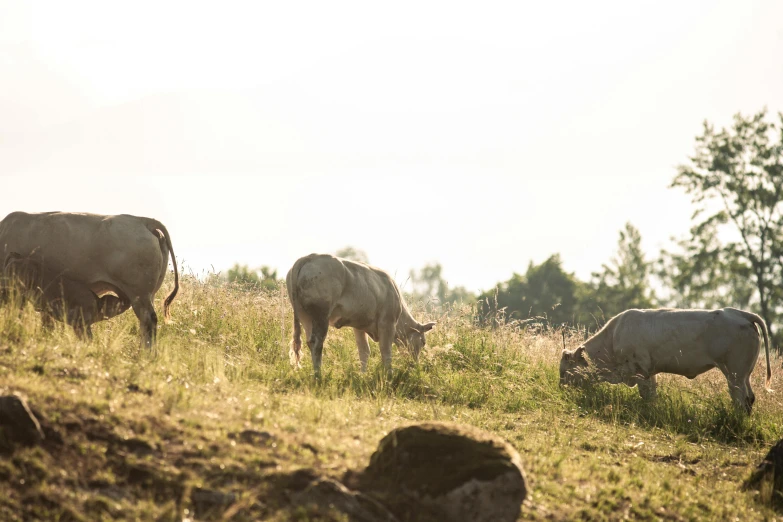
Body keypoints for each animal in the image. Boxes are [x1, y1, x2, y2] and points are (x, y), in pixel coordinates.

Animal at [286, 253, 438, 372]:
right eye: (423, 342)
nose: (415, 364)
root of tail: (308, 257)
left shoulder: (359, 325)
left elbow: (364, 351)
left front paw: (363, 374)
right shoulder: (387, 323)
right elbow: (386, 351)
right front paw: (389, 374)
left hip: (304, 316)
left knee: (310, 342)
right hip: (321, 315)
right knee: (317, 343)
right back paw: (319, 374)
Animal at [560, 306, 776, 412]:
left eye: (565, 369)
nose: (560, 387)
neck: (613, 338)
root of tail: (740, 313)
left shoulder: (640, 370)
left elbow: (647, 395)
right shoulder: (649, 372)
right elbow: (651, 394)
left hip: (735, 374)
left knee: (740, 399)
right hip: (744, 375)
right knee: (749, 398)